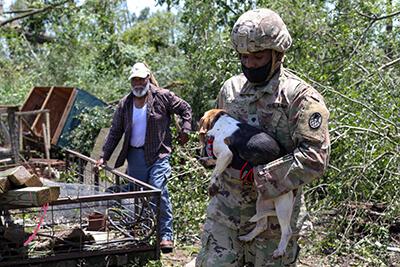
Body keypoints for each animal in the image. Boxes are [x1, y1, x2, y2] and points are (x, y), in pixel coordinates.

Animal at [199, 109, 294, 260]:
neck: (222, 122)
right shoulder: (225, 157)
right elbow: (215, 162)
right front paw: (207, 160)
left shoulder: (226, 154)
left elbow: (215, 173)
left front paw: (212, 186)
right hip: (261, 203)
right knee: (262, 225)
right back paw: (247, 237)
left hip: (282, 207)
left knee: (287, 231)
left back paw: (280, 250)